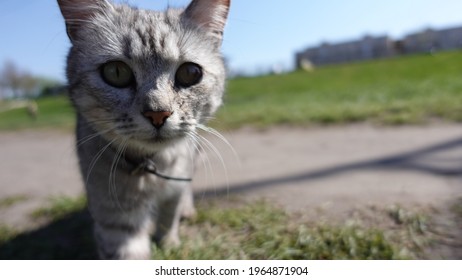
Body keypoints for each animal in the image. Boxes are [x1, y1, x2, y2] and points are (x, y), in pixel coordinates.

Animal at [56, 0, 230, 260]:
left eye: (190, 73)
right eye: (116, 72)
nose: (158, 113)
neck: (151, 165)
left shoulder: (175, 186)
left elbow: (169, 216)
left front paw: (169, 243)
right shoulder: (113, 216)